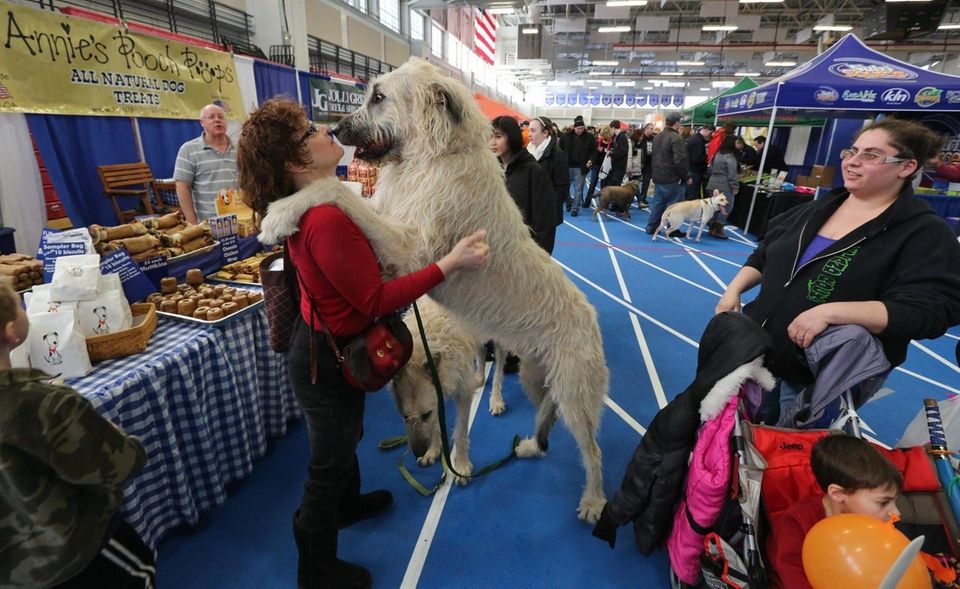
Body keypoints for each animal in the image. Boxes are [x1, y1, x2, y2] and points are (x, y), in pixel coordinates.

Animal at [336, 58, 608, 520]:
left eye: (378, 96)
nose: (335, 129)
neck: (435, 157)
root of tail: (591, 318)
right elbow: (362, 208)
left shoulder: (412, 248)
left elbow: (338, 196)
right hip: (537, 377)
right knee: (547, 410)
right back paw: (532, 445)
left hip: (574, 390)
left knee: (592, 450)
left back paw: (593, 500)